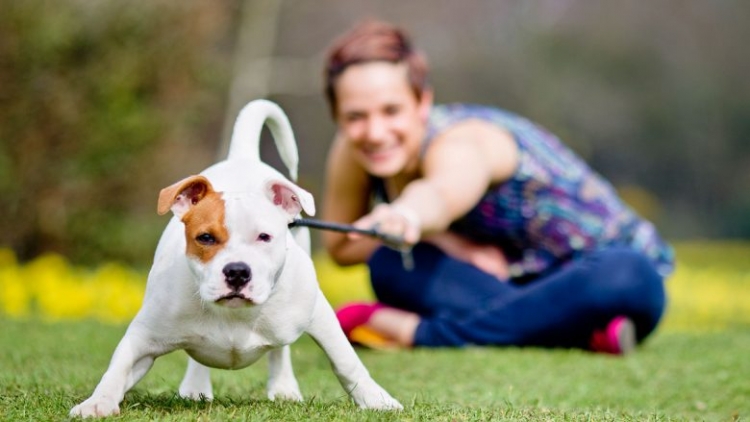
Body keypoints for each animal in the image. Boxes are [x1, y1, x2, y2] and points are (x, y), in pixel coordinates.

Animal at [72, 99, 406, 418]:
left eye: (264, 237)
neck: (234, 314)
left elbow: (345, 360)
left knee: (281, 351)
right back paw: (196, 387)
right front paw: (97, 402)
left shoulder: (319, 314)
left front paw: (376, 399)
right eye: (205, 238)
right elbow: (118, 367)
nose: (236, 272)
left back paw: (283, 387)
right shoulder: (145, 334)